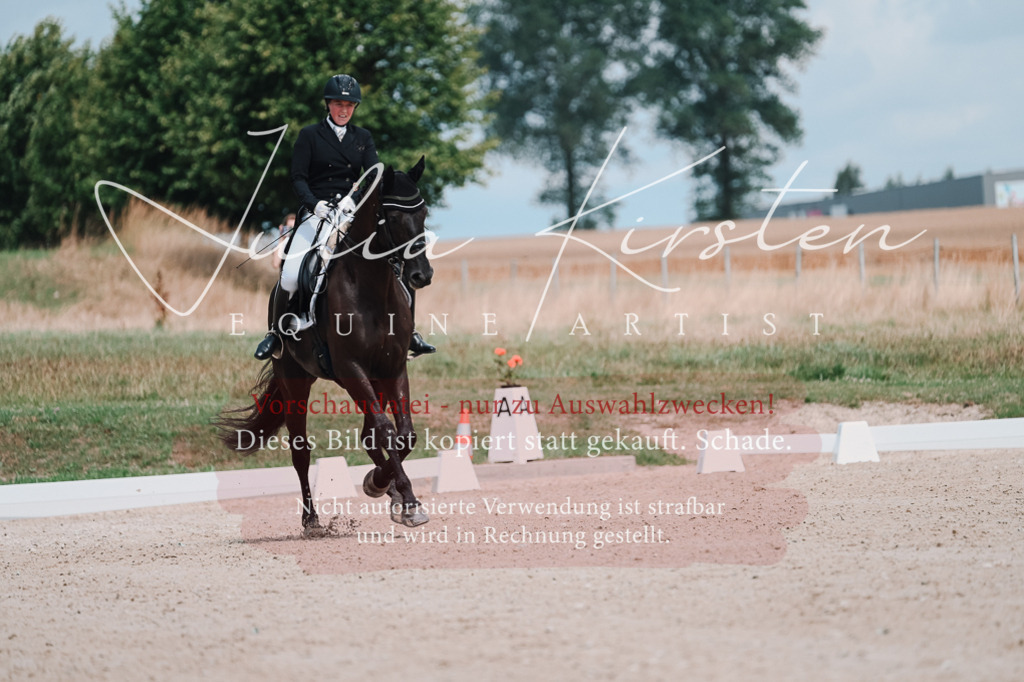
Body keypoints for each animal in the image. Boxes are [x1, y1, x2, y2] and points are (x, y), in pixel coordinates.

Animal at [216, 157, 433, 533]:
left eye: (423, 213)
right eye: (391, 217)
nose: (422, 275)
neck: (373, 290)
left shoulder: (392, 368)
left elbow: (403, 434)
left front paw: (390, 489)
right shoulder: (351, 368)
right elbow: (387, 431)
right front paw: (401, 496)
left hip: (368, 379)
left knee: (369, 434)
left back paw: (384, 486)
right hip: (296, 380)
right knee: (301, 450)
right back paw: (311, 519)